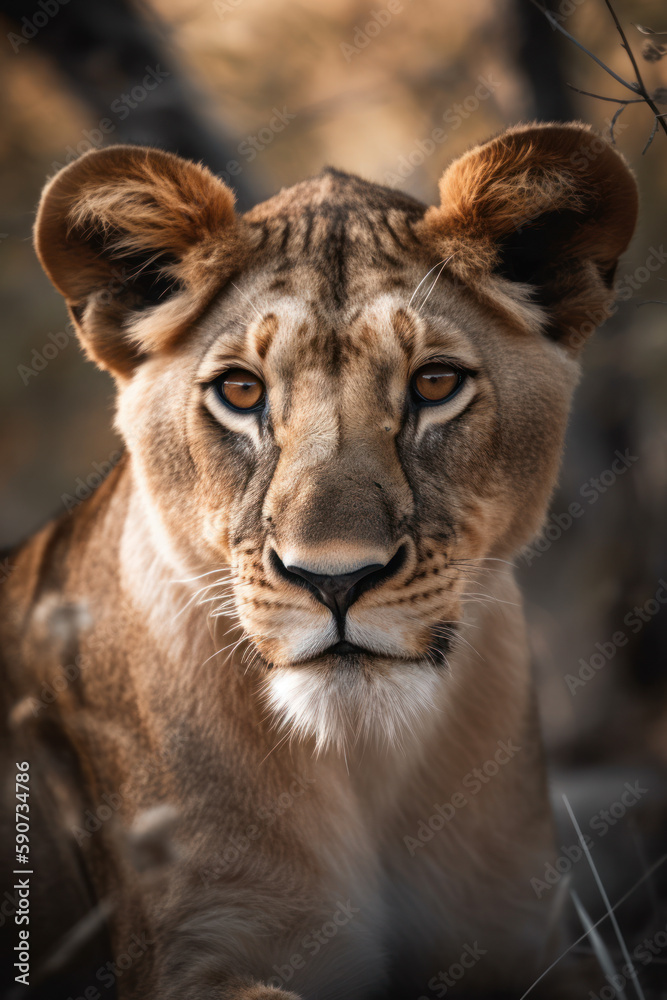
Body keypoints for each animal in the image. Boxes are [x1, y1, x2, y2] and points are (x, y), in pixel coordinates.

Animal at [0, 122, 637, 998]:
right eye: (240, 391)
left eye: (434, 383)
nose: (335, 579)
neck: (362, 761)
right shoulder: (192, 955)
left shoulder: (523, 937)